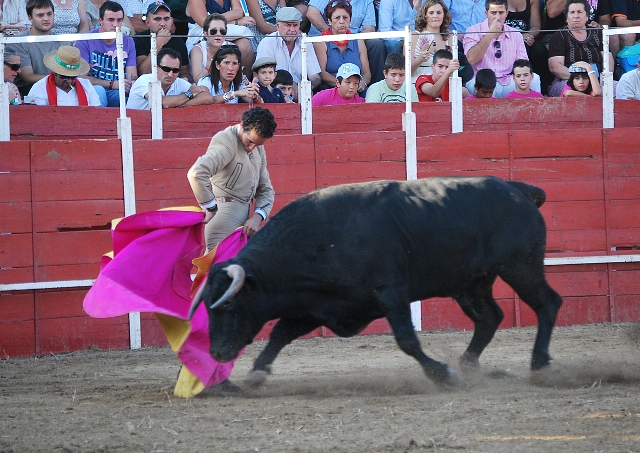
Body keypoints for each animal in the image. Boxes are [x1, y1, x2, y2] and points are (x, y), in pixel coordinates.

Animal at [188, 175, 564, 386]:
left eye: (229, 305)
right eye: (207, 305)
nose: (217, 352)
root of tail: (517, 190)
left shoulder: (391, 295)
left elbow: (407, 340)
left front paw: (441, 375)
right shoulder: (319, 307)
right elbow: (280, 333)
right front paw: (257, 372)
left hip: (520, 266)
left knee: (548, 303)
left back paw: (539, 364)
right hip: (471, 283)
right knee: (489, 318)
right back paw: (470, 365)